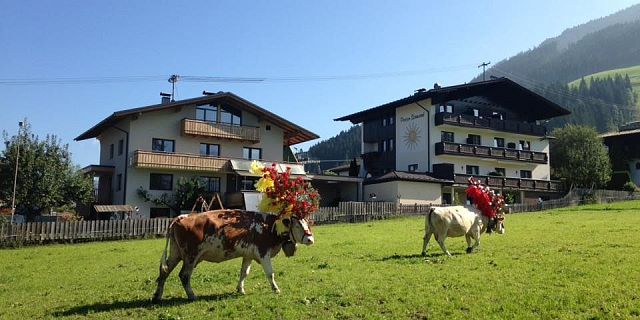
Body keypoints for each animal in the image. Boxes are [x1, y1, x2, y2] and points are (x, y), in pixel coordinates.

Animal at [153, 209, 318, 302]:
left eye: (307, 223)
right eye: (298, 225)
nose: (311, 239)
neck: (270, 226)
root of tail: (181, 217)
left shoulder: (248, 255)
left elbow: (244, 273)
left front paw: (240, 289)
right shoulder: (263, 252)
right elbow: (270, 273)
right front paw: (276, 289)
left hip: (176, 253)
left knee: (164, 271)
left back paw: (157, 296)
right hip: (191, 257)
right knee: (184, 275)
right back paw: (192, 295)